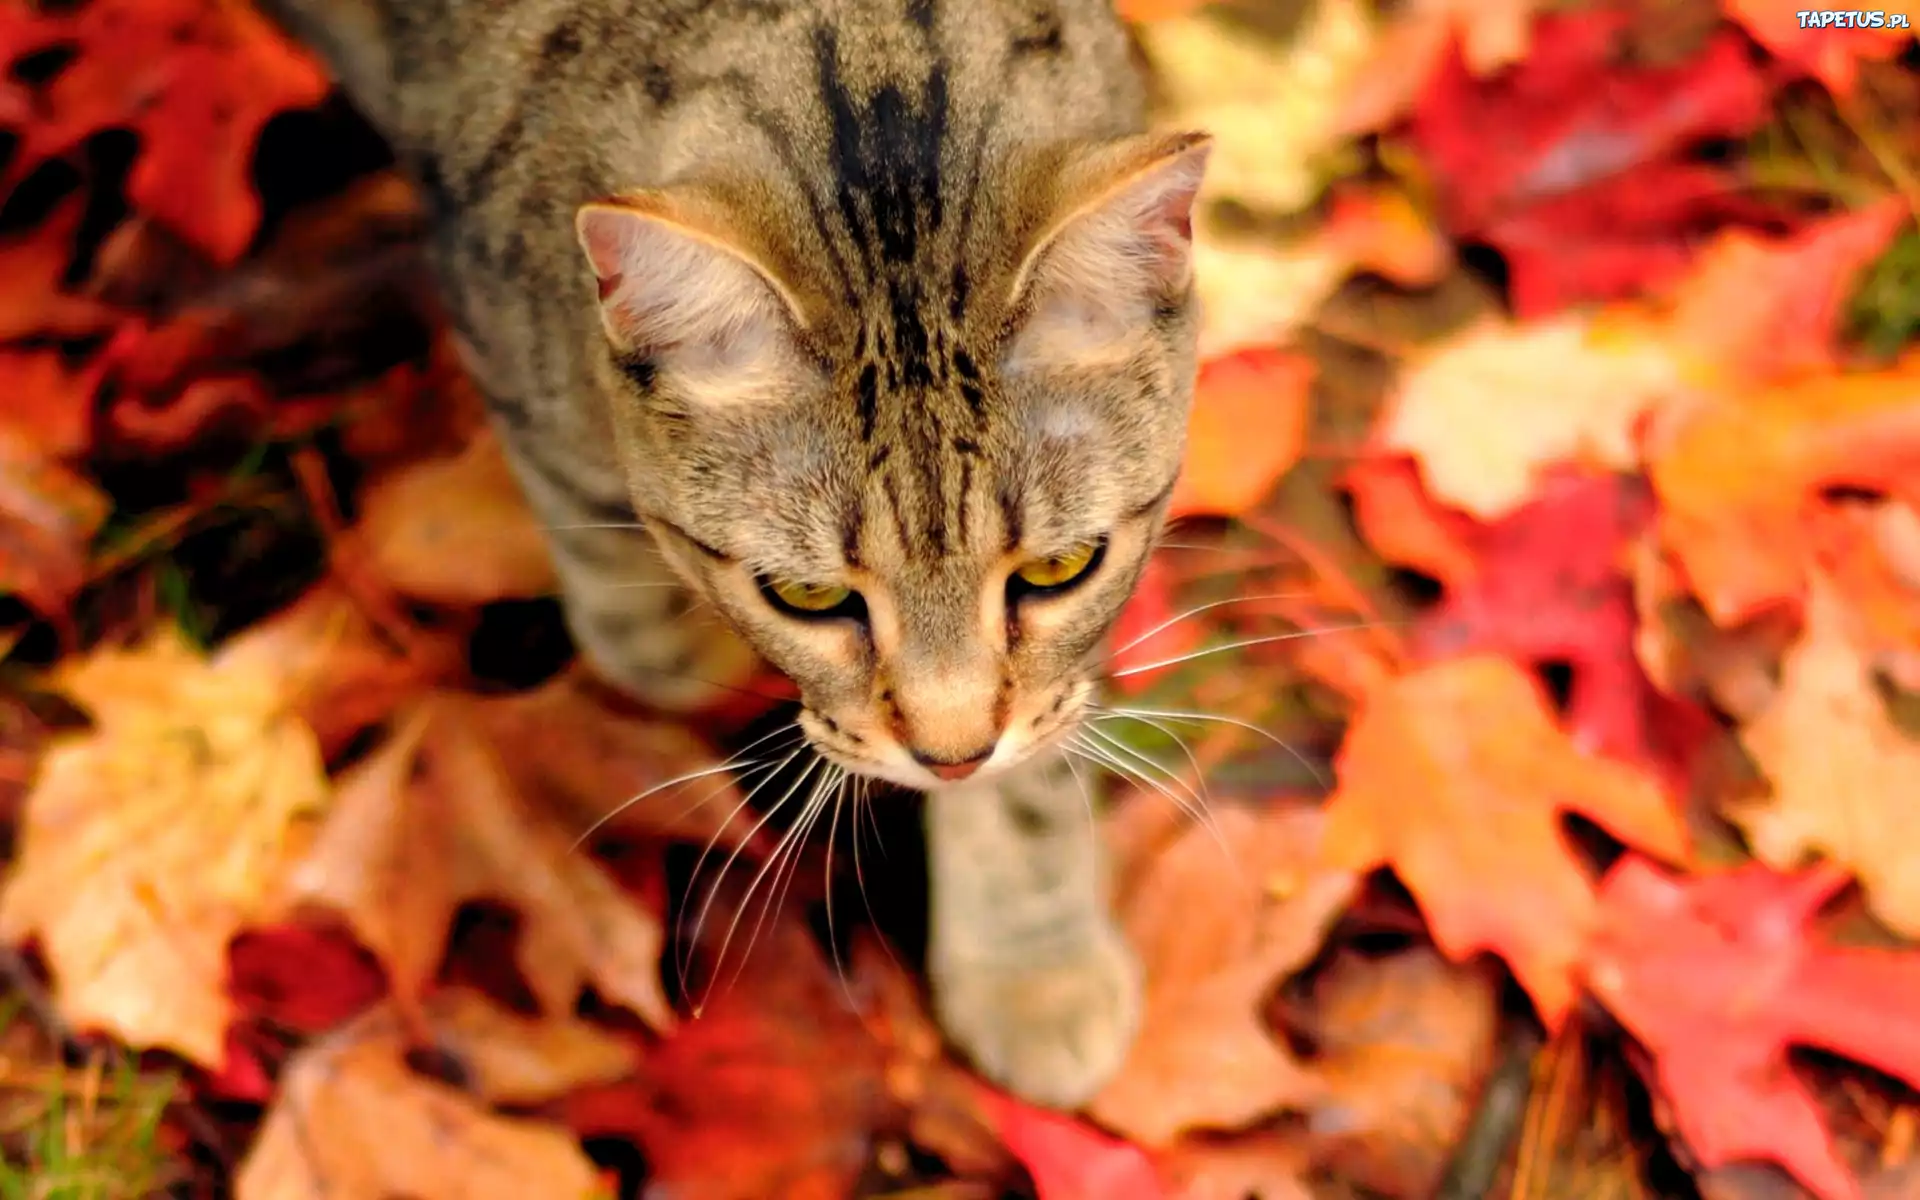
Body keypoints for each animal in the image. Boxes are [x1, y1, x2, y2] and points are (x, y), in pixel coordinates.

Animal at [259, 0, 1213, 1105]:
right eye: (805, 595)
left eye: (1057, 571)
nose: (949, 757)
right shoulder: (528, 387)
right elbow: (642, 632)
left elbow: (1037, 755)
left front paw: (1030, 965)